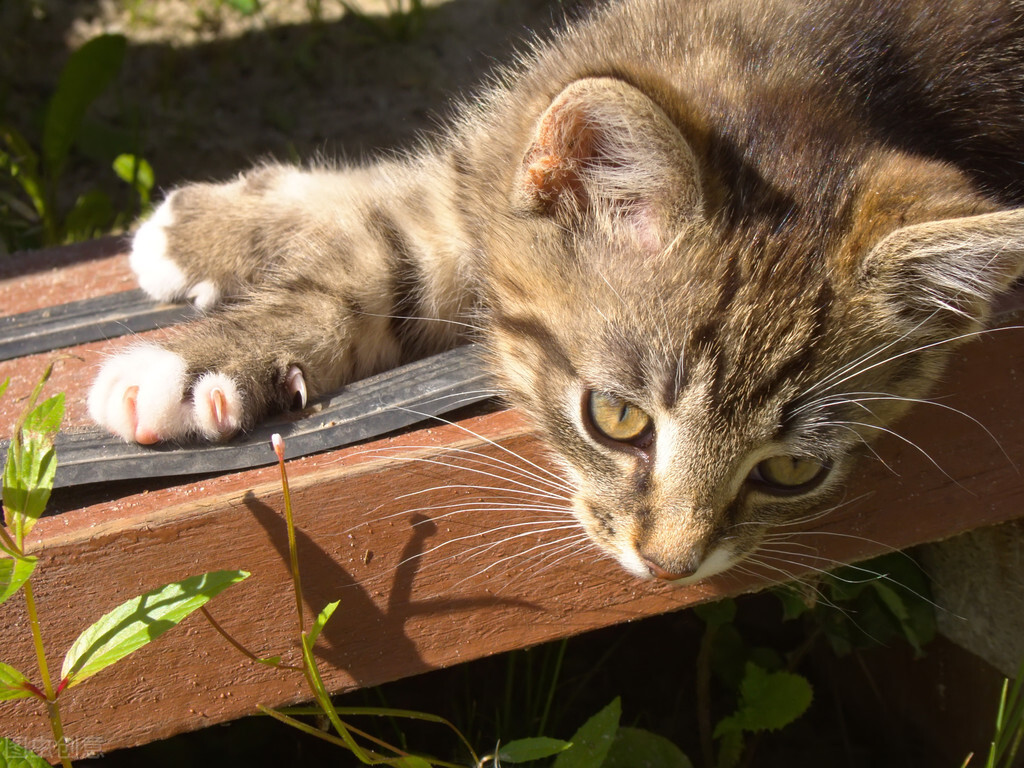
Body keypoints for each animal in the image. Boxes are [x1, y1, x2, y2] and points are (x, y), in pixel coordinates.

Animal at [90, 0, 1024, 581]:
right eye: (617, 418)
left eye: (793, 470)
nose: (669, 564)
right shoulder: (491, 164)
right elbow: (384, 232)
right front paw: (202, 256)